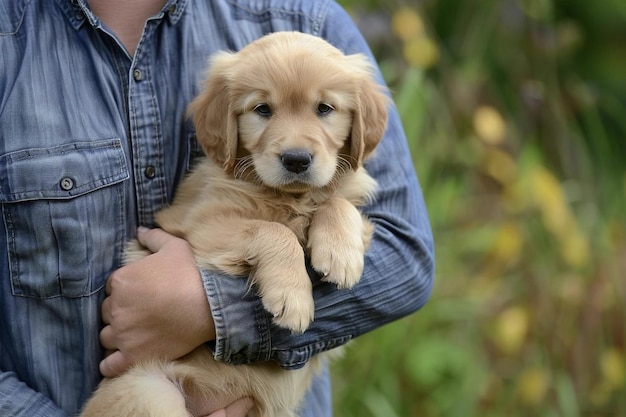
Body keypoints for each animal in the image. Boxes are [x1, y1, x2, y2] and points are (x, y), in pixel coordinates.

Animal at [80, 31, 388, 416]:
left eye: (324, 109)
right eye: (263, 109)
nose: (296, 160)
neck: (290, 197)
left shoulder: (353, 203)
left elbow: (338, 202)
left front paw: (340, 255)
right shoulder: (200, 225)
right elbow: (273, 230)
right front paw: (293, 297)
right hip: (148, 392)